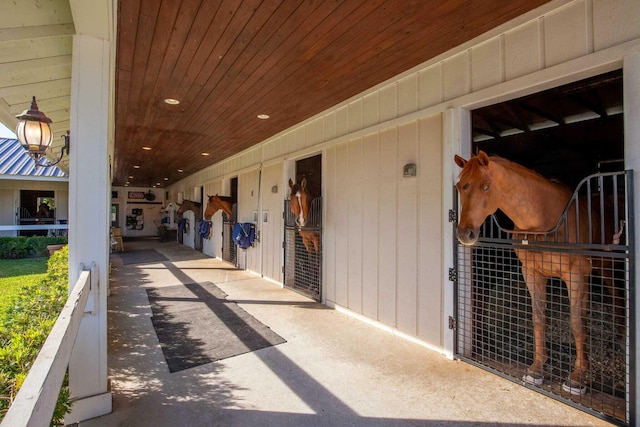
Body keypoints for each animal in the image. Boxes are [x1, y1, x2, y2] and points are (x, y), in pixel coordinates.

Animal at [452, 152, 624, 396]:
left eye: (485, 186)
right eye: (459, 186)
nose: (465, 233)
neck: (543, 221)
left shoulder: (575, 275)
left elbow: (577, 323)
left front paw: (577, 378)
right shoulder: (532, 273)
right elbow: (539, 318)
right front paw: (536, 370)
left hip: (607, 265)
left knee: (618, 296)